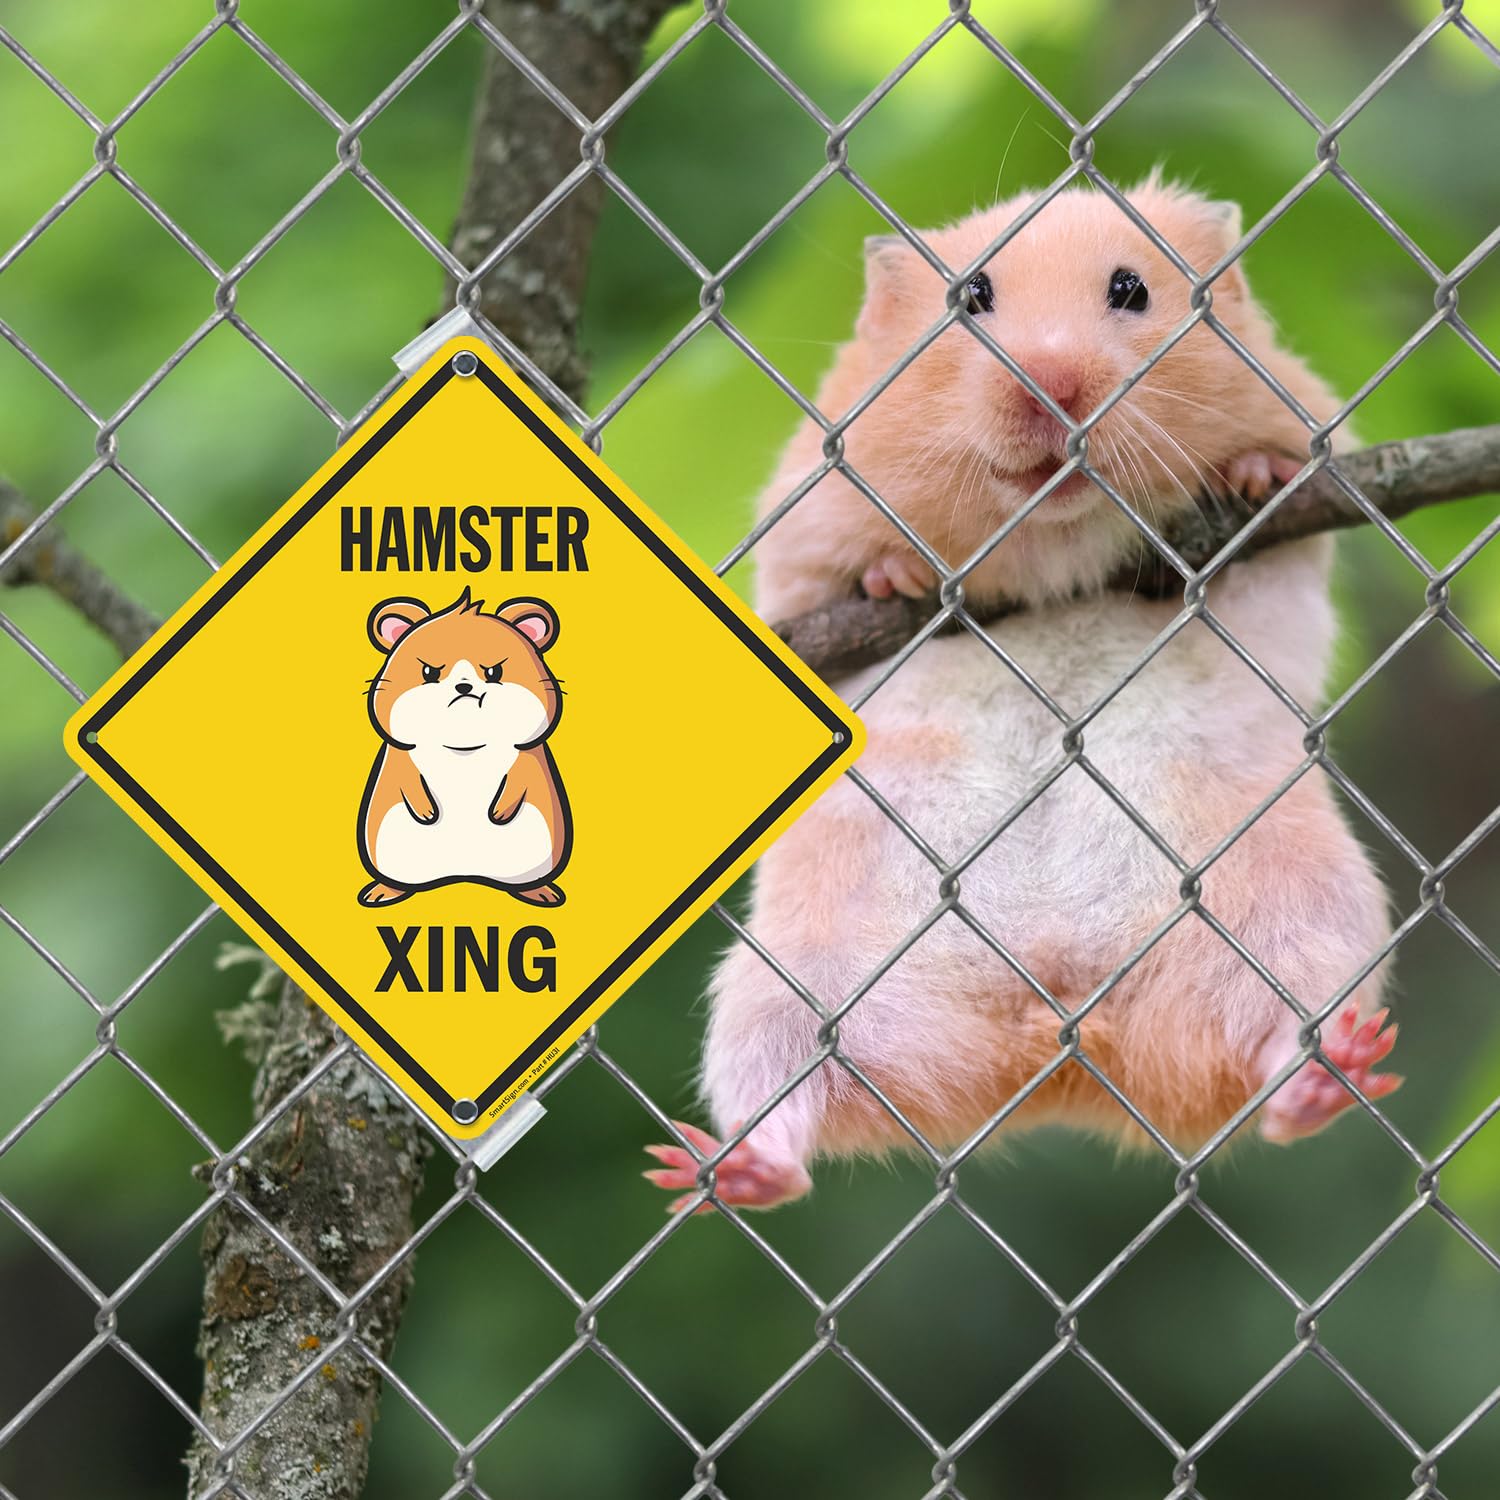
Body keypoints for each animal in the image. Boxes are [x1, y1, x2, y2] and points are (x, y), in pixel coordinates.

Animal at [357, 589, 571, 909]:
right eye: (429, 671)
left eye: (494, 671)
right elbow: (407, 780)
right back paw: (384, 891)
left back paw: (538, 891)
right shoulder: (402, 755)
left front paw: (500, 813)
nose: (464, 686)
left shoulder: (527, 755)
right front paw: (426, 813)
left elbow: (521, 778)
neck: (464, 742)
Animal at [646, 178, 1397, 1212]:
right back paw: (722, 1167)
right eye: (972, 299)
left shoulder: (1305, 460)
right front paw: (895, 578)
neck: (1054, 537)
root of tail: (1060, 1046)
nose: (1052, 387)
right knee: (792, 1108)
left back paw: (1331, 1074)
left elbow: (1279, 494)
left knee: (1284, 1064)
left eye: (1131, 289)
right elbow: (840, 573)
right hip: (782, 993)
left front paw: (1251, 476)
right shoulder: (801, 532)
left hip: (1310, 916)